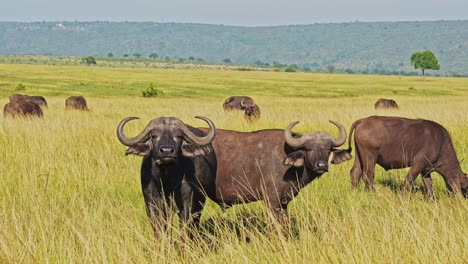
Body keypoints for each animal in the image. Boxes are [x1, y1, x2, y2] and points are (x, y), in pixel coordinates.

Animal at [332, 115, 468, 198]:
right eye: (466, 188)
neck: (440, 142)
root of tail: (362, 120)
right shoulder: (418, 164)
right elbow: (408, 181)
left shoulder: (425, 170)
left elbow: (428, 185)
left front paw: (432, 200)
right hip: (370, 157)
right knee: (368, 176)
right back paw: (374, 194)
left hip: (360, 157)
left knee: (355, 172)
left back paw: (354, 192)